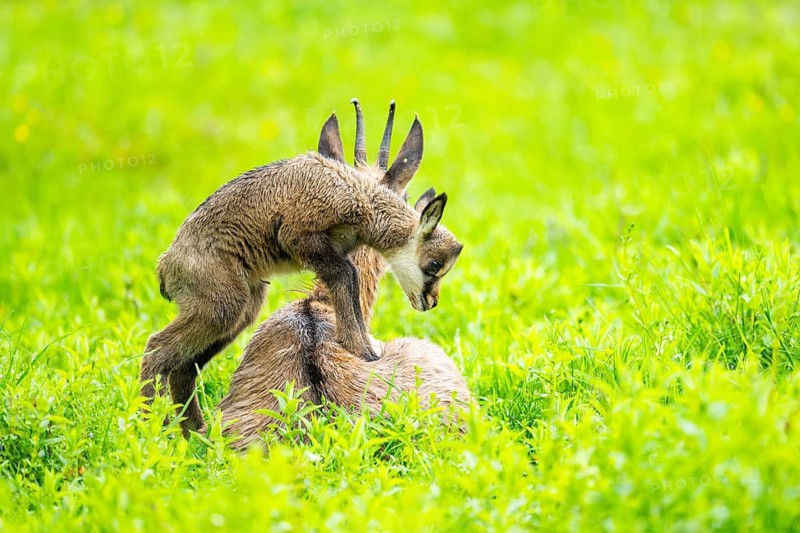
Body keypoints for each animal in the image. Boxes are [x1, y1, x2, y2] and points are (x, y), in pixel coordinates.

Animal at [141, 99, 464, 435]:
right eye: (435, 264)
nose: (431, 302)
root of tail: (166, 266)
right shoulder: (304, 237)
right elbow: (346, 274)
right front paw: (364, 350)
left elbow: (348, 275)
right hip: (222, 306)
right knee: (157, 348)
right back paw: (147, 425)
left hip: (240, 310)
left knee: (182, 367)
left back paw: (190, 431)